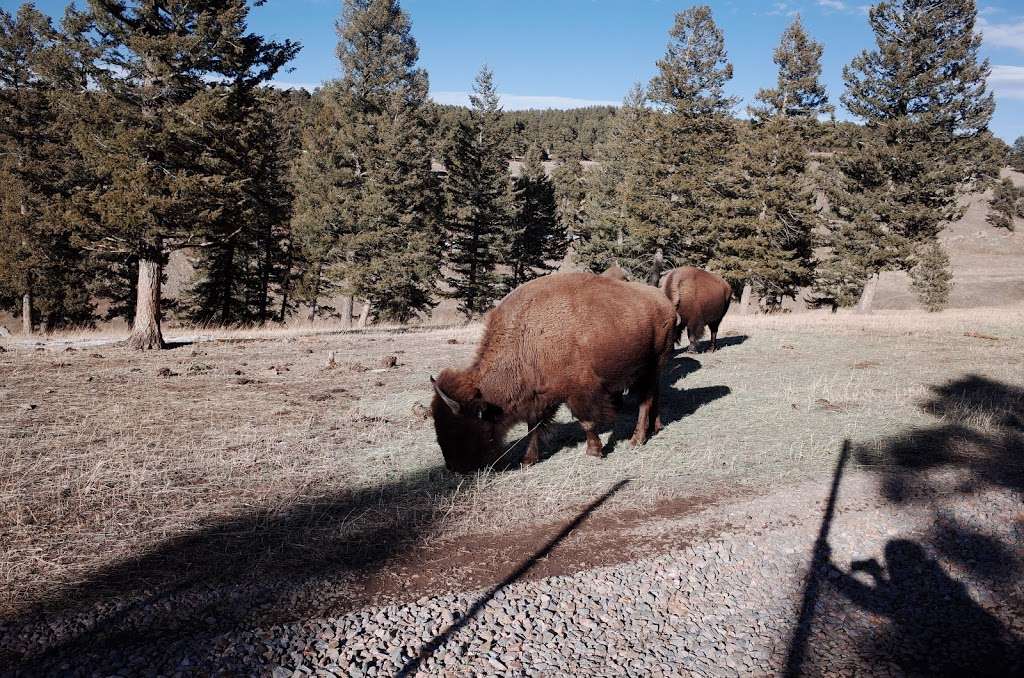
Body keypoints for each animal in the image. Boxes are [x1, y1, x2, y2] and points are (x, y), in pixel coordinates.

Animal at [428, 274, 675, 475]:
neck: (527, 338)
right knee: (655, 396)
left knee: (645, 401)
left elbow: (586, 422)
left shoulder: (579, 392)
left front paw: (594, 452)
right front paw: (528, 461)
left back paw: (637, 439)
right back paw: (655, 427)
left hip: (651, 367)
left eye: (460, 429)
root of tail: (664, 302)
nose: (454, 468)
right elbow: (533, 428)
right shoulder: (539, 398)